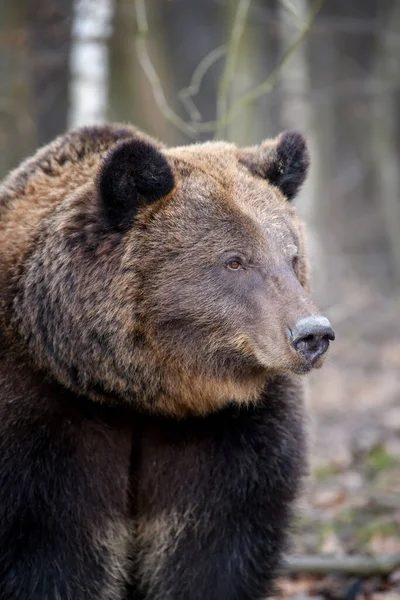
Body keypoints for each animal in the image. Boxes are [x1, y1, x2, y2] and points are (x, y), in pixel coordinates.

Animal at [0, 123, 334, 600]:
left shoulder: (227, 433)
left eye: (291, 257)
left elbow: (212, 547)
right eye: (234, 261)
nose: (312, 334)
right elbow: (54, 549)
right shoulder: (40, 420)